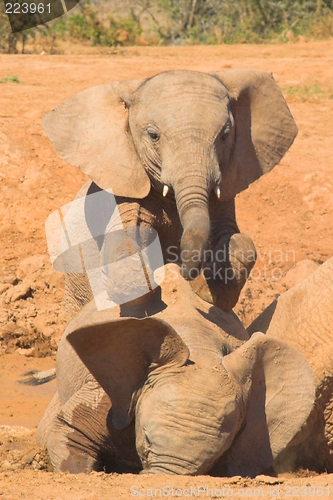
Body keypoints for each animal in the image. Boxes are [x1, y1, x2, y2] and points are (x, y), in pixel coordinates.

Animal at [43, 68, 296, 310]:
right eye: (153, 135)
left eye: (225, 136)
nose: (182, 270)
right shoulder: (124, 185)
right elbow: (124, 235)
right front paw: (137, 287)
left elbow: (238, 239)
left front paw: (211, 291)